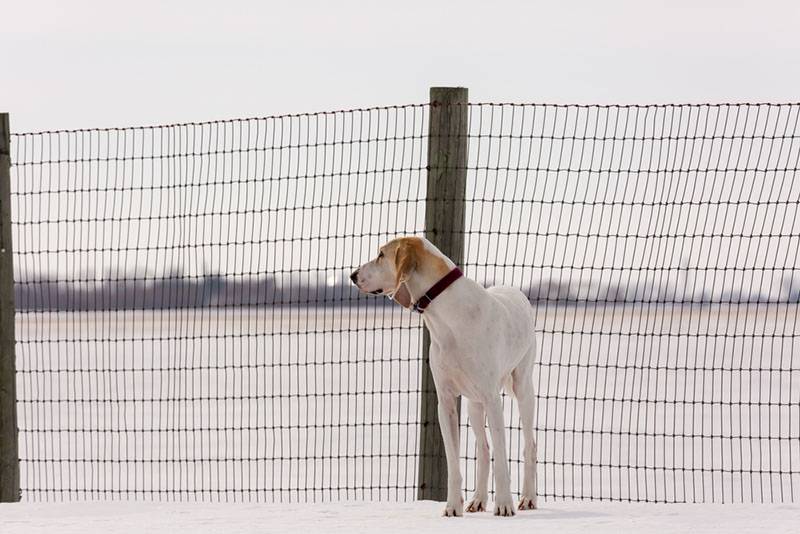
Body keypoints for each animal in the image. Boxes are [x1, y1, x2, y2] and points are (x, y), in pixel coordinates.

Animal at [350, 237, 536, 516]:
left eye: (381, 255)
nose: (352, 275)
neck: (446, 317)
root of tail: (515, 290)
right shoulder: (446, 401)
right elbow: (453, 462)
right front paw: (452, 507)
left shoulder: (493, 400)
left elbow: (502, 458)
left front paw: (504, 505)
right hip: (473, 404)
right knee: (483, 449)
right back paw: (478, 499)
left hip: (522, 388)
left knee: (529, 445)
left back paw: (528, 498)